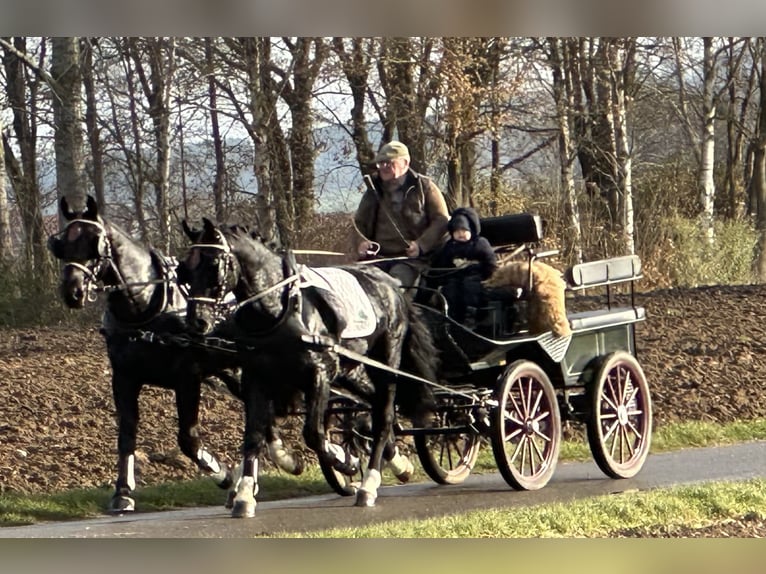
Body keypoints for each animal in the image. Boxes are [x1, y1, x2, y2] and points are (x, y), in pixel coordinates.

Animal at [45, 197, 304, 512]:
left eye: (94, 243)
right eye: (61, 245)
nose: (73, 292)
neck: (146, 311)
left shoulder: (187, 379)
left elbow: (188, 440)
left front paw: (225, 476)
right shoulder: (124, 378)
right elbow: (126, 433)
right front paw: (123, 492)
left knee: (261, 413)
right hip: (231, 371)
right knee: (261, 414)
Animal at [176, 220, 438, 516]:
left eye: (212, 264)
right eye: (184, 270)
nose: (197, 321)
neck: (280, 307)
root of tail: (391, 285)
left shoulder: (319, 374)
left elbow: (313, 434)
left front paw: (344, 461)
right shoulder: (256, 379)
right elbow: (254, 435)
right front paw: (244, 495)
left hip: (386, 362)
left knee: (384, 414)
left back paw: (369, 483)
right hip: (351, 369)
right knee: (374, 403)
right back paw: (397, 462)